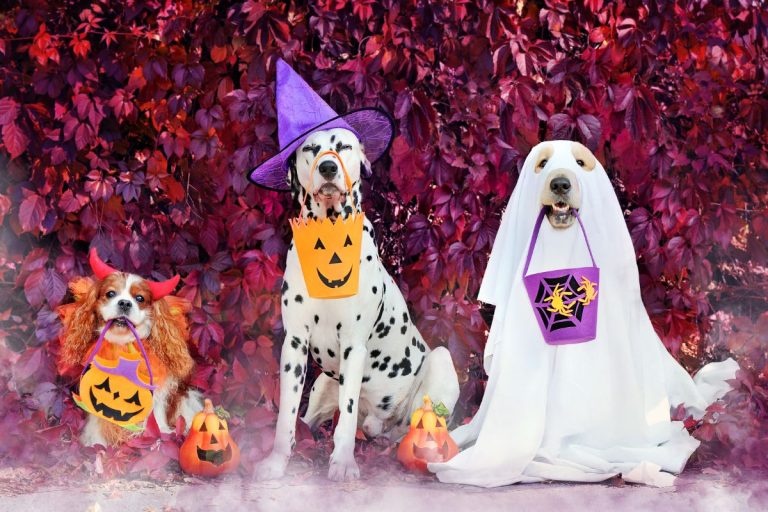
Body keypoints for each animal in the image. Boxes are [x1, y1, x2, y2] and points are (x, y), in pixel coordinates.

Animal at [258, 127, 460, 480]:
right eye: (311, 148)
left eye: (344, 146)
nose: (328, 168)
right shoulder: (294, 344)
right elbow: (287, 413)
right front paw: (277, 460)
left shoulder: (354, 346)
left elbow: (348, 414)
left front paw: (343, 463)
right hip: (324, 382)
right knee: (310, 419)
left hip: (440, 363)